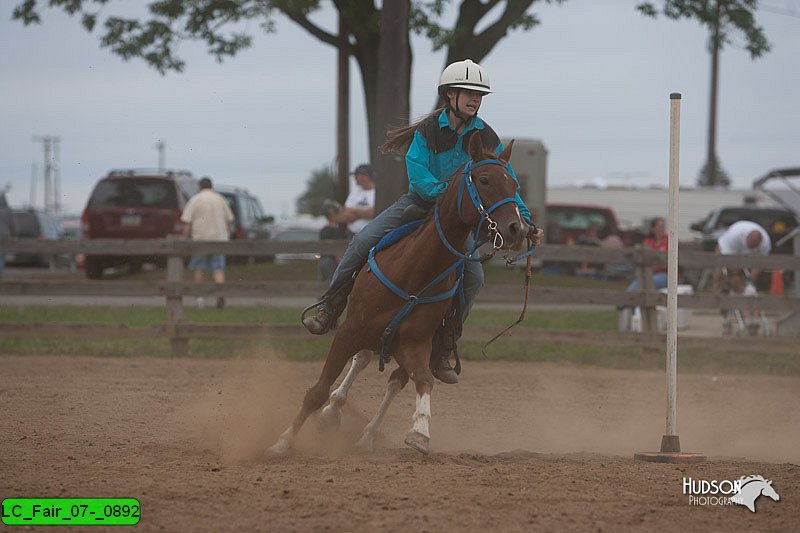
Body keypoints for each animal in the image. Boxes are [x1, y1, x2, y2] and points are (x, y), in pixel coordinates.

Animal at [270, 133, 532, 454]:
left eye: (515, 185)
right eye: (484, 180)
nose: (518, 229)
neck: (416, 271)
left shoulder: (415, 342)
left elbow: (423, 381)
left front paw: (419, 432)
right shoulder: (349, 330)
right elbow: (318, 390)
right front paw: (283, 441)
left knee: (393, 378)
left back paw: (366, 435)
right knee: (360, 361)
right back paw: (332, 411)